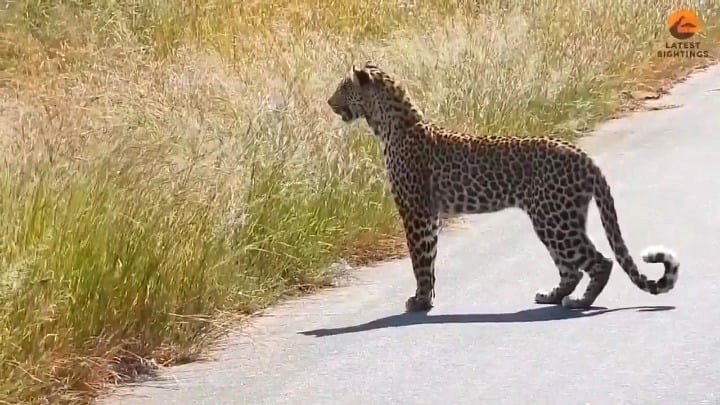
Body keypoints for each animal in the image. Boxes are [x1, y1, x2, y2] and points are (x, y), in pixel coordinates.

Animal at [326, 61, 680, 313]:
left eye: (343, 87)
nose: (329, 102)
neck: (388, 126)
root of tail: (582, 154)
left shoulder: (416, 211)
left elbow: (419, 259)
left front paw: (419, 301)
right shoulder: (431, 215)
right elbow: (430, 256)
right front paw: (427, 299)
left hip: (553, 218)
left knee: (598, 262)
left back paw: (579, 303)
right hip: (558, 218)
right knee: (572, 269)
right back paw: (552, 296)